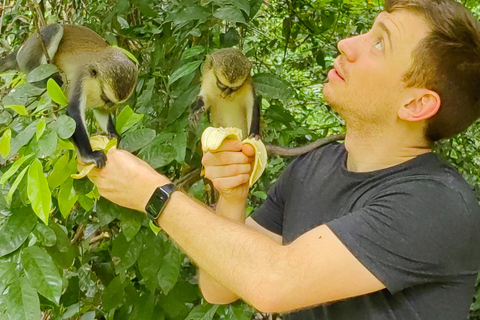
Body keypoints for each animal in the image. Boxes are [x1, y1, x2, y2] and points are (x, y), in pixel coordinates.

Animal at [0, 23, 139, 168]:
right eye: (105, 98)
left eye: (113, 103)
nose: (109, 106)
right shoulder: (82, 78)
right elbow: (73, 111)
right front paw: (90, 156)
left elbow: (100, 111)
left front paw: (113, 134)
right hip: (27, 55)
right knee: (54, 28)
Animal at [191, 47, 344, 156]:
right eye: (222, 85)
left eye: (235, 88)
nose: (225, 94)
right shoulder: (208, 80)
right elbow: (204, 98)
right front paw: (195, 112)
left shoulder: (247, 86)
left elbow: (252, 104)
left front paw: (254, 134)